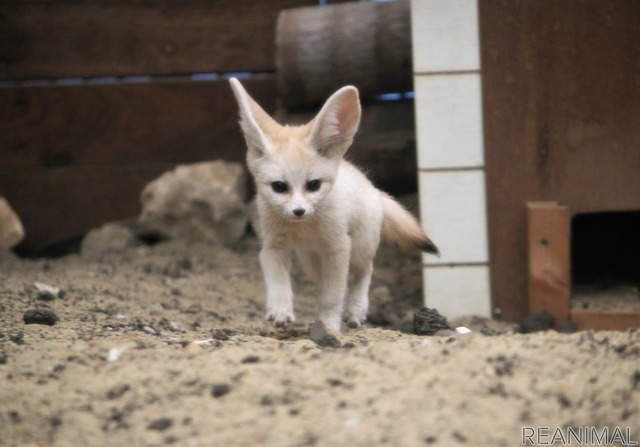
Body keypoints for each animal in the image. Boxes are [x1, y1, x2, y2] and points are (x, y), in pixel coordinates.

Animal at [231, 78, 440, 332]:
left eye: (314, 185)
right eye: (279, 187)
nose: (299, 211)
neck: (303, 227)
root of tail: (373, 189)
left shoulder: (339, 248)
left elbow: (333, 296)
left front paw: (329, 326)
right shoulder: (272, 246)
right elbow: (278, 283)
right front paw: (280, 310)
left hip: (359, 248)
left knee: (365, 270)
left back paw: (355, 309)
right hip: (312, 261)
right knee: (327, 281)